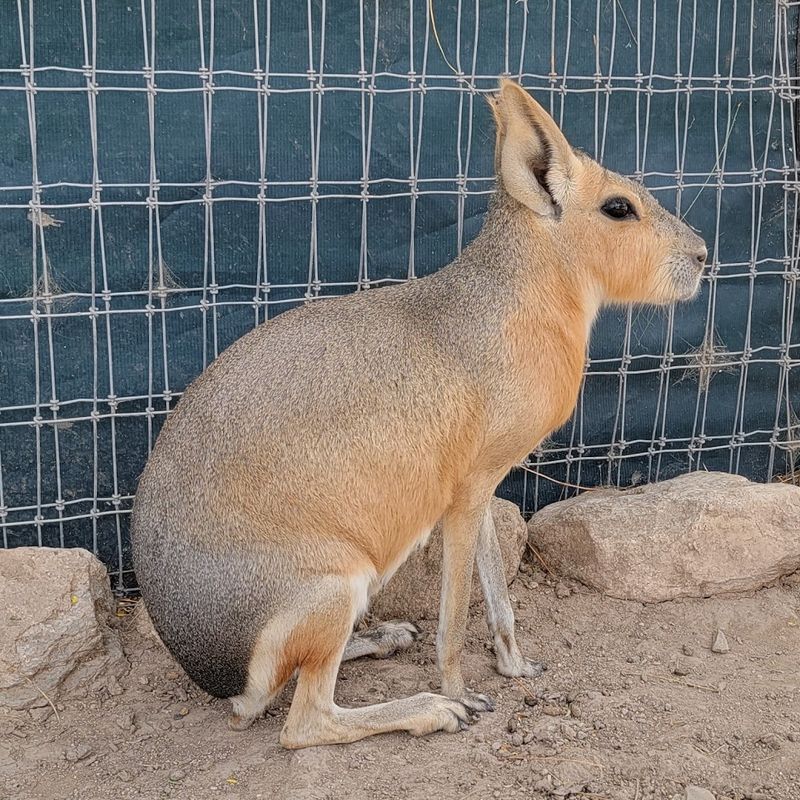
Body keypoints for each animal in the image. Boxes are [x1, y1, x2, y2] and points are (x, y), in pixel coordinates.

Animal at [132, 79, 706, 749]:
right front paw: (461, 692)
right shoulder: (463, 495)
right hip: (335, 583)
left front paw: (515, 665)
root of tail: (213, 674)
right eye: (619, 208)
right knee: (304, 720)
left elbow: (497, 589)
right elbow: (455, 615)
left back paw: (383, 636)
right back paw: (430, 708)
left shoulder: (483, 480)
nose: (703, 256)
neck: (518, 306)